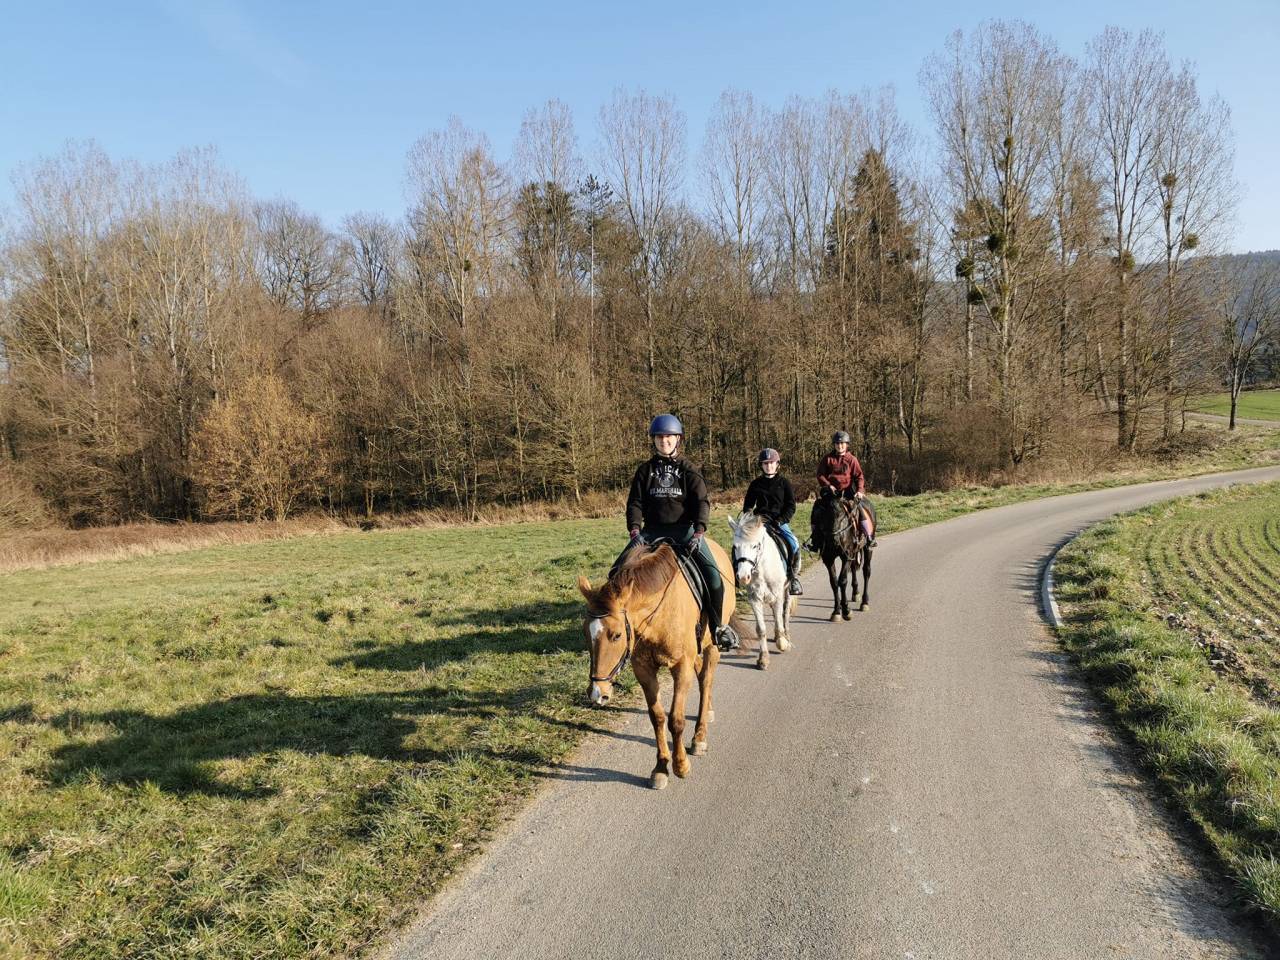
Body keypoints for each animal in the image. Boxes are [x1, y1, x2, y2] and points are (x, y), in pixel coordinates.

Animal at [577, 536, 737, 790]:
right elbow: (658, 717)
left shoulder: (680, 666)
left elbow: (676, 720)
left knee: (707, 679)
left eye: (616, 635)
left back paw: (700, 736)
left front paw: (681, 765)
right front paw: (661, 768)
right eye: (585, 633)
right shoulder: (643, 669)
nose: (597, 693)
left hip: (711, 644)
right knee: (702, 675)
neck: (658, 613)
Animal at [728, 510, 798, 671]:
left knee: (785, 614)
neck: (762, 568)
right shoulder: (754, 598)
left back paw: (786, 636)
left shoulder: (777, 595)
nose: (743, 577)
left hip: (787, 590)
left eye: (755, 546)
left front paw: (782, 643)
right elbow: (761, 629)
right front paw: (763, 658)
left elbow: (779, 620)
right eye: (735, 546)